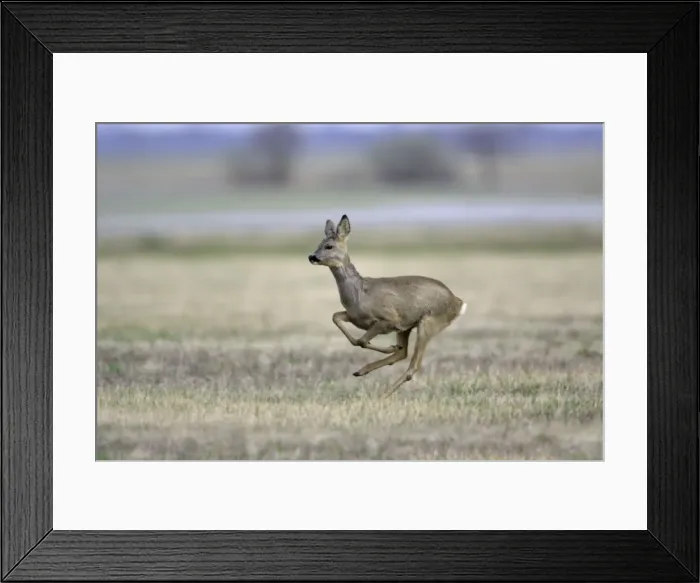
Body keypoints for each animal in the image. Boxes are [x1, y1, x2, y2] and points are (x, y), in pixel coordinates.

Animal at [308, 214, 467, 398]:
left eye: (329, 246)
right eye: (319, 243)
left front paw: (388, 347)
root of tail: (458, 303)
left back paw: (383, 394)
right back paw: (362, 371)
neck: (359, 294)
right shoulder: (355, 317)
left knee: (413, 365)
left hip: (429, 322)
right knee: (403, 353)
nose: (312, 256)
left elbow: (362, 340)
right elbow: (338, 320)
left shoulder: (389, 319)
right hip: (408, 326)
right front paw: (390, 347)